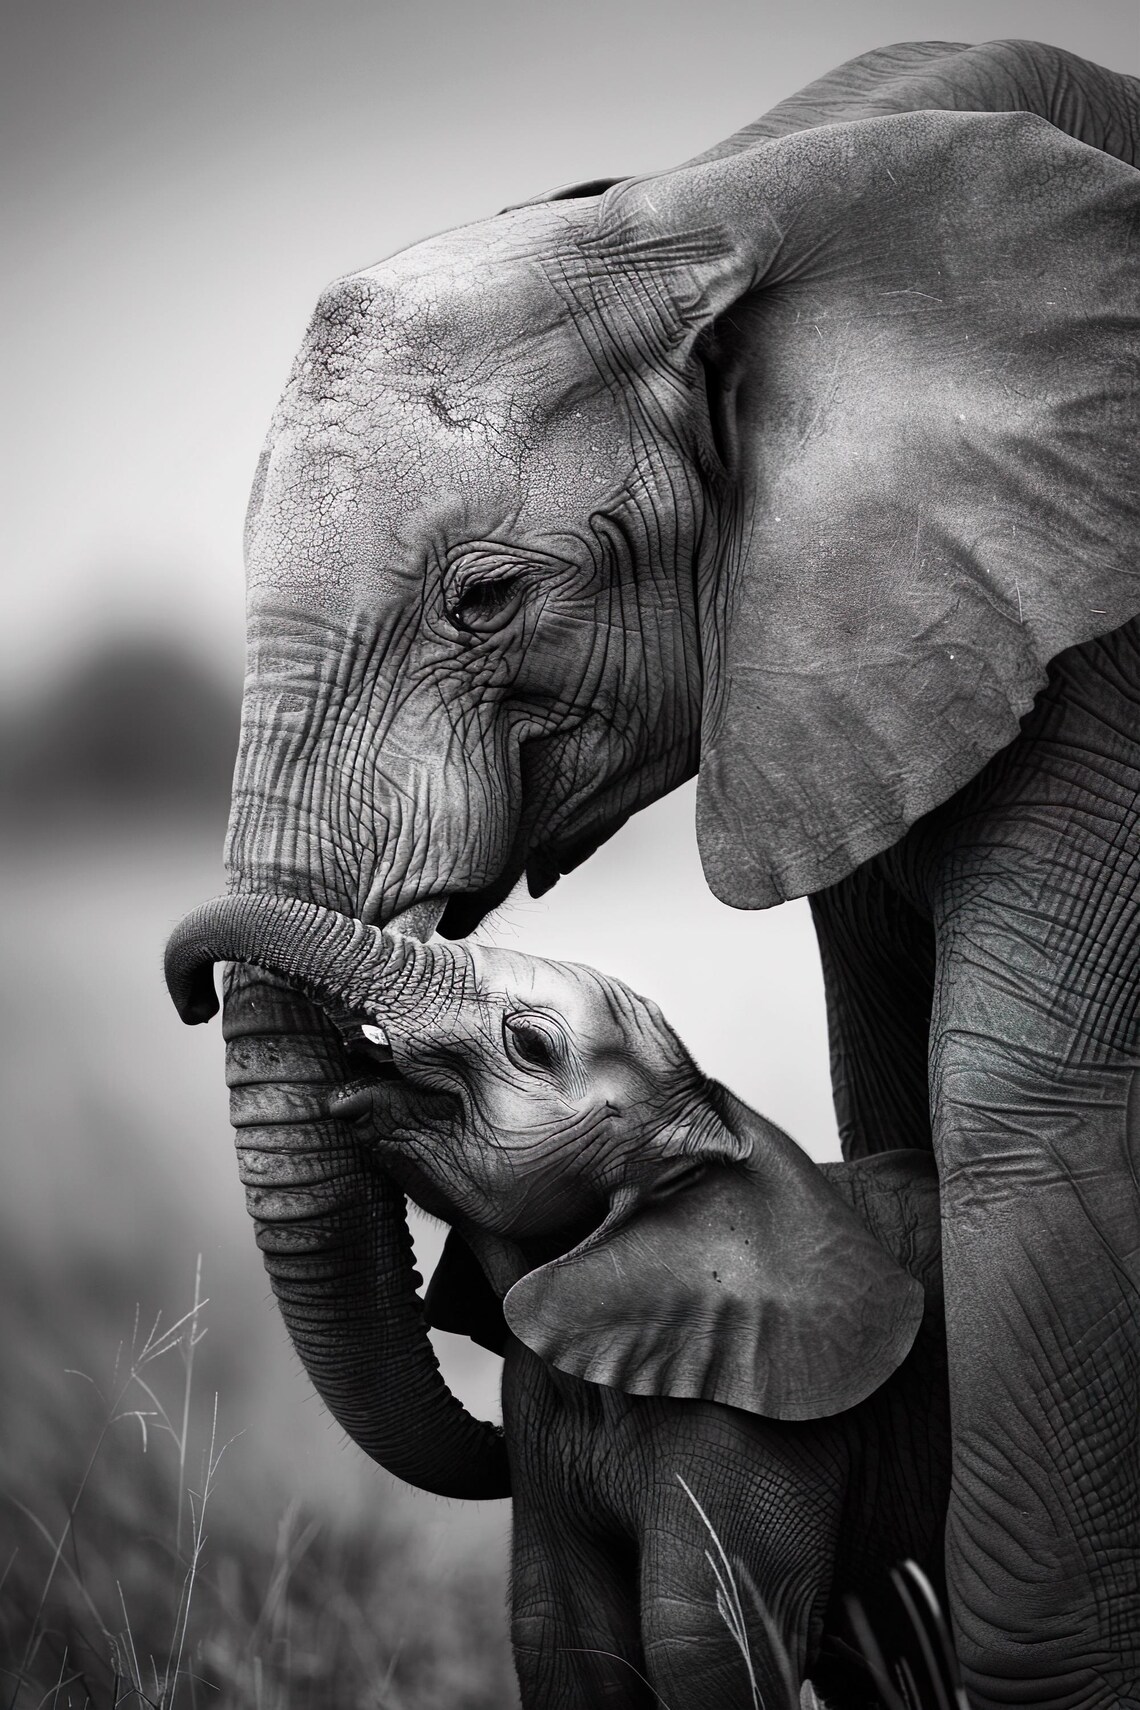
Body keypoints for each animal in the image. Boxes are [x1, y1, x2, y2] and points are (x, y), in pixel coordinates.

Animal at [165, 898, 955, 1706]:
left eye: (530, 1045)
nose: (196, 1003)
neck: (716, 1137)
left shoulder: (761, 1426)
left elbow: (701, 1641)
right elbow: (565, 1636)